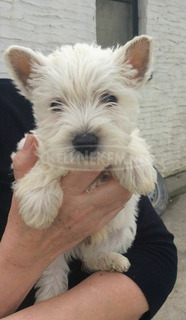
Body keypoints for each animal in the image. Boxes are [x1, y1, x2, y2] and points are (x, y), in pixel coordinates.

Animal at [3, 35, 156, 302]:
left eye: (110, 99)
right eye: (55, 105)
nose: (85, 140)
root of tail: (76, 247)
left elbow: (129, 139)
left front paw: (138, 167)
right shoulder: (30, 145)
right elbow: (46, 160)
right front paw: (38, 203)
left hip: (123, 231)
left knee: (90, 259)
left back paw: (110, 260)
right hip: (51, 256)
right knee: (54, 276)